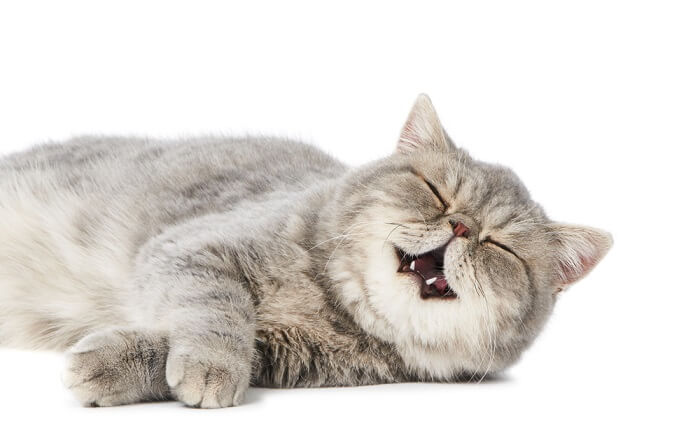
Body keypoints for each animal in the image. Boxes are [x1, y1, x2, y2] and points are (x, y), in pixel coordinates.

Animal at [0, 95, 612, 408]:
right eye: (436, 191)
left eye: (500, 246)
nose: (460, 226)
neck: (329, 303)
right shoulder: (192, 250)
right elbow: (219, 311)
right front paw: (205, 363)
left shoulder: (284, 356)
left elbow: (220, 346)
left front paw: (113, 364)